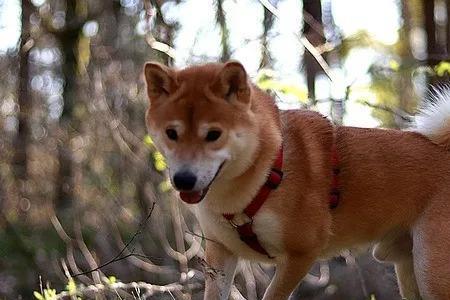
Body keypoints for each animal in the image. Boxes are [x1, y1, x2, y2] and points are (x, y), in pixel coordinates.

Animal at [144, 61, 450, 300]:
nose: (184, 180)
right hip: (406, 266)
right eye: (171, 133)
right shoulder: (221, 253)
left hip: (430, 271)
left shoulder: (301, 254)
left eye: (213, 134)